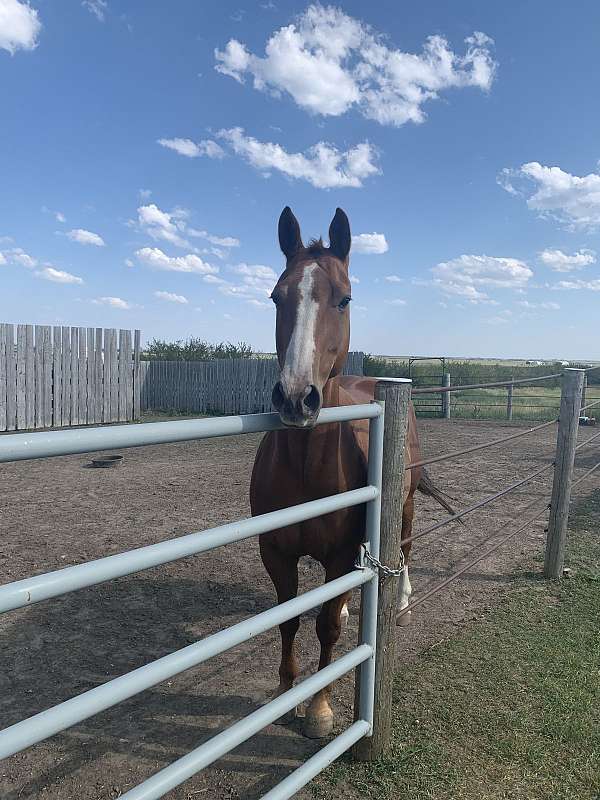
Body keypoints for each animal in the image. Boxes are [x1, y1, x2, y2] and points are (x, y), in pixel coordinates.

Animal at [250, 207, 452, 739]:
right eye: (276, 296)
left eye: (343, 299)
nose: (296, 397)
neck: (305, 467)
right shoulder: (275, 550)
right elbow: (290, 619)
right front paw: (285, 692)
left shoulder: (339, 552)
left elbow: (327, 629)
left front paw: (318, 708)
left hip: (404, 506)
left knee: (403, 550)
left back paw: (401, 607)